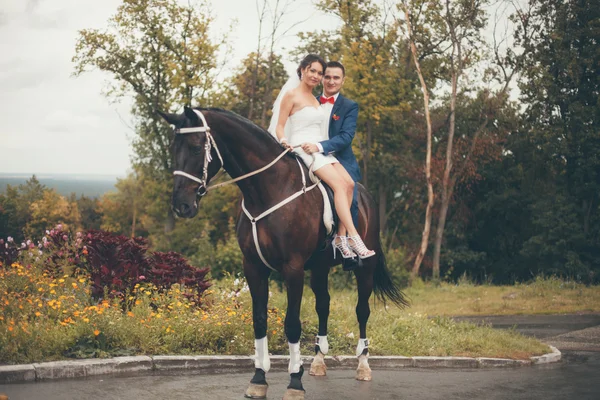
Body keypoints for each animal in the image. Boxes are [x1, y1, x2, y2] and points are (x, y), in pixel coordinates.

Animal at [159, 106, 408, 400]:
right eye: (174, 148)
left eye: (197, 148)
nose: (181, 205)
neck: (267, 190)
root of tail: (366, 196)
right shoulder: (253, 267)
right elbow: (259, 320)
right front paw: (258, 378)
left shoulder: (293, 268)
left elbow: (292, 324)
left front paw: (294, 381)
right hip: (320, 268)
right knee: (323, 305)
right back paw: (319, 361)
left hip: (364, 268)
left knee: (362, 310)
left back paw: (363, 365)